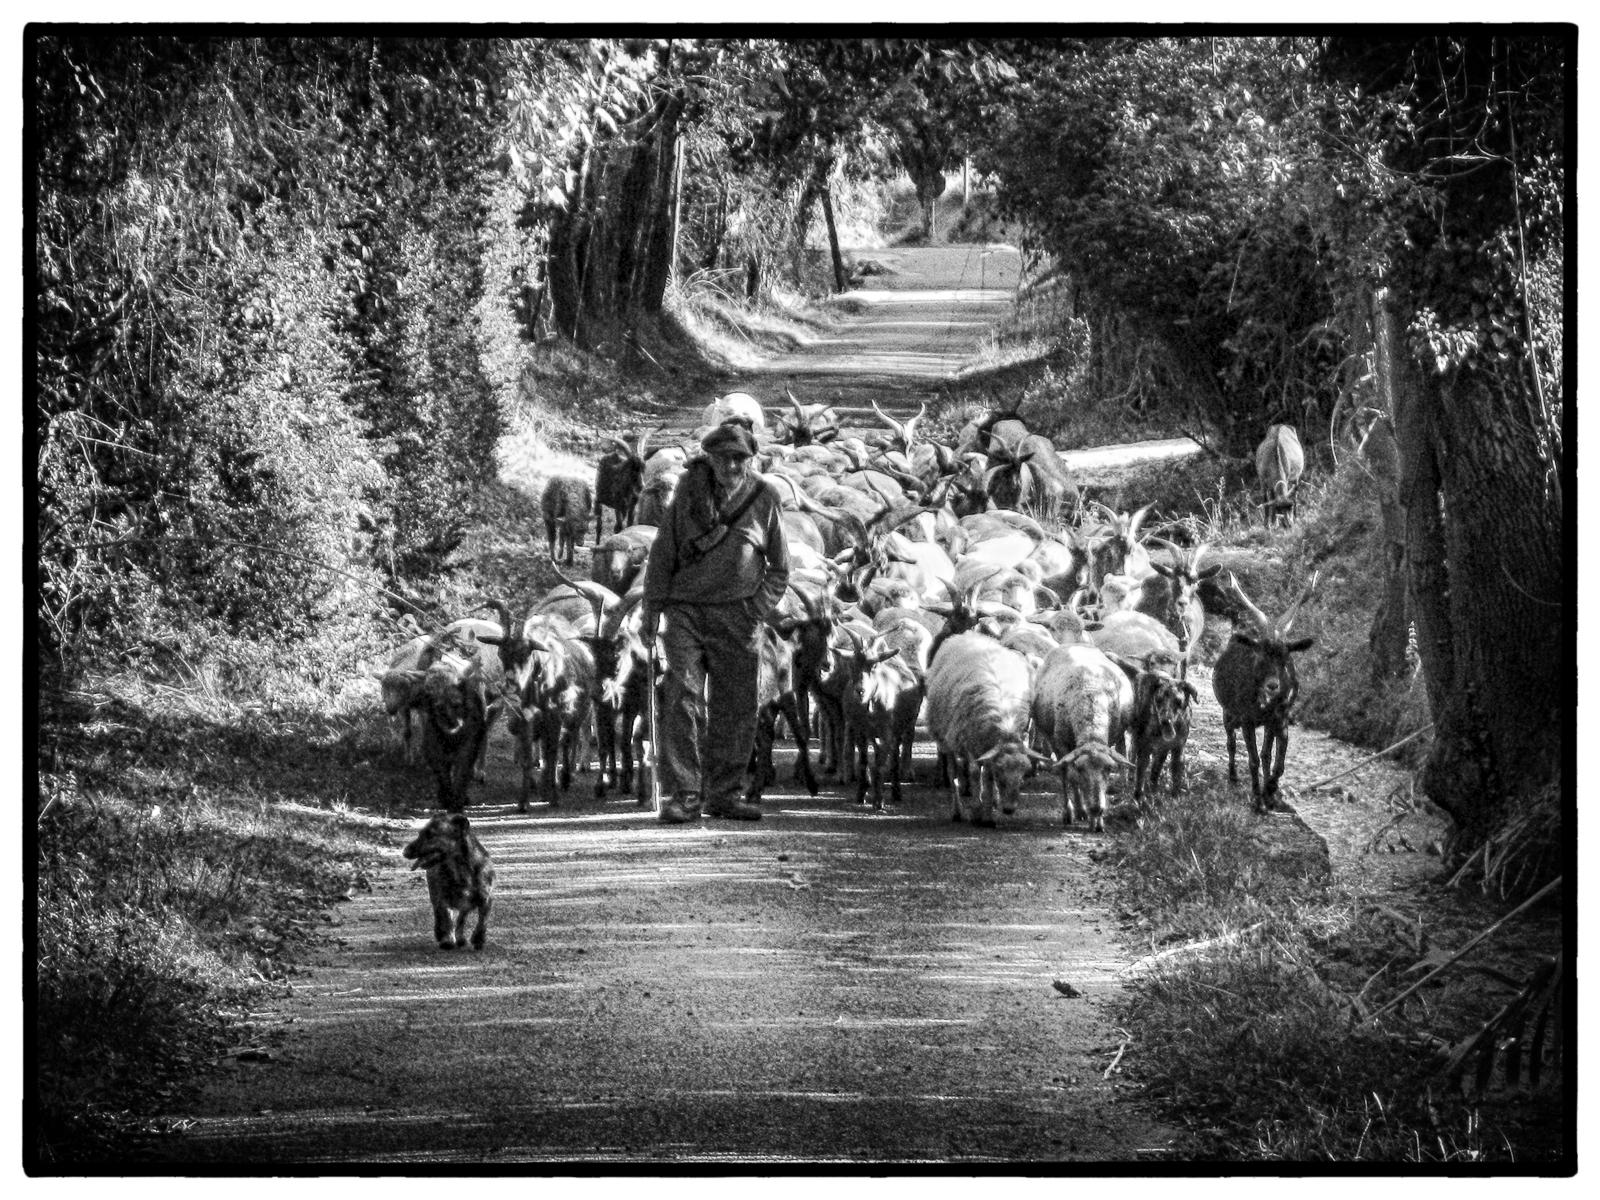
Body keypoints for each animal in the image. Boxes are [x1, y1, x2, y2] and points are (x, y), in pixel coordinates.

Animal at [400, 812, 492, 953]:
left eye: (430, 834)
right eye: (420, 833)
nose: (404, 852)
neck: (460, 869)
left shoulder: (486, 900)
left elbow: (482, 922)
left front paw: (478, 939)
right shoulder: (443, 899)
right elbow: (447, 919)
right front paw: (447, 939)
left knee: (461, 918)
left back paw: (460, 938)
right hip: (434, 895)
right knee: (439, 915)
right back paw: (441, 933)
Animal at [921, 633, 1043, 832]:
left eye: (1022, 776)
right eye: (1001, 774)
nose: (1009, 810)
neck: (1005, 724)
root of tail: (968, 635)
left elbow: (987, 777)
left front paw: (988, 813)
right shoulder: (969, 742)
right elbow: (974, 774)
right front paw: (978, 812)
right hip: (947, 739)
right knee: (953, 773)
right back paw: (958, 811)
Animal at [1024, 643, 1139, 832]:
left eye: (1109, 769)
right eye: (1081, 769)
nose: (1096, 808)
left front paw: (1098, 821)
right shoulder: (1061, 744)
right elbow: (1069, 776)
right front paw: (1075, 812)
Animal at [1209, 572, 1312, 819]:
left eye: (1286, 658)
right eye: (1260, 655)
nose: (1273, 686)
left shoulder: (1281, 718)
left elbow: (1276, 762)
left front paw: (1270, 792)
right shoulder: (1246, 718)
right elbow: (1253, 759)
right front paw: (1257, 800)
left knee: (1265, 753)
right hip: (1228, 711)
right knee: (1231, 742)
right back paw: (1233, 776)